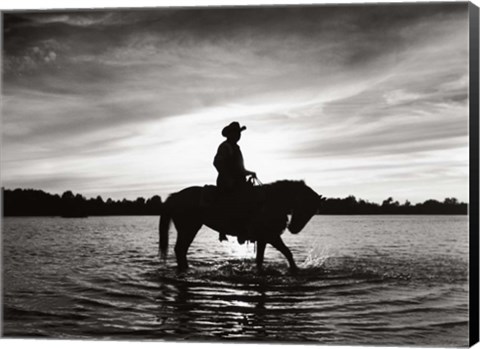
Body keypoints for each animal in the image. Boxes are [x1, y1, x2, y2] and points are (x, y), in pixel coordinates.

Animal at [158, 179, 322, 272]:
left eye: (313, 211)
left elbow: (260, 259)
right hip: (188, 229)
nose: (294, 229)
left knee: (181, 250)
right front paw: (295, 270)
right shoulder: (271, 236)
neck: (271, 201)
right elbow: (287, 252)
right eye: (306, 206)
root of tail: (174, 197)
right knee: (180, 249)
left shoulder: (263, 239)